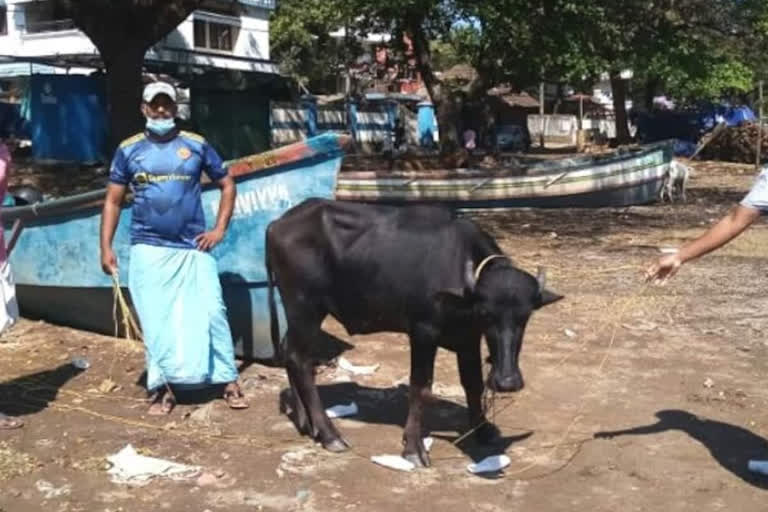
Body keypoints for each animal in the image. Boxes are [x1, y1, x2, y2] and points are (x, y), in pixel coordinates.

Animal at [268, 200, 560, 468]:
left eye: (525, 316)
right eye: (487, 313)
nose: (507, 382)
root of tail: (276, 224)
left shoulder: (468, 338)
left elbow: (473, 384)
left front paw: (482, 428)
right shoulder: (423, 333)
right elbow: (421, 388)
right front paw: (414, 447)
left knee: (289, 353)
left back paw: (306, 423)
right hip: (305, 309)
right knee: (300, 360)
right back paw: (330, 434)